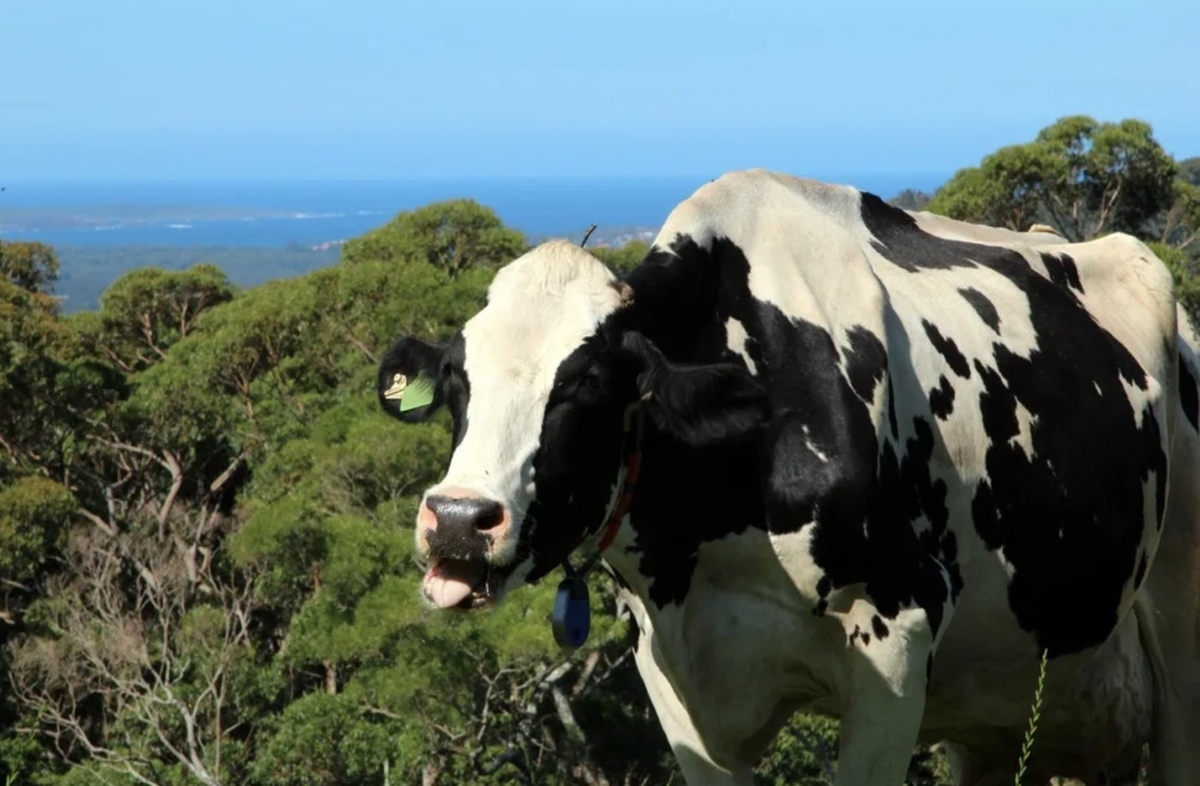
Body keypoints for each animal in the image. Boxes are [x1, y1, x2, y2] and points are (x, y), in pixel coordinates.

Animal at [375, 169, 1200, 786]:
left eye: (585, 384)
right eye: (457, 380)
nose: (457, 520)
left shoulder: (898, 634)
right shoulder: (676, 677)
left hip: (1179, 641)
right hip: (998, 703)